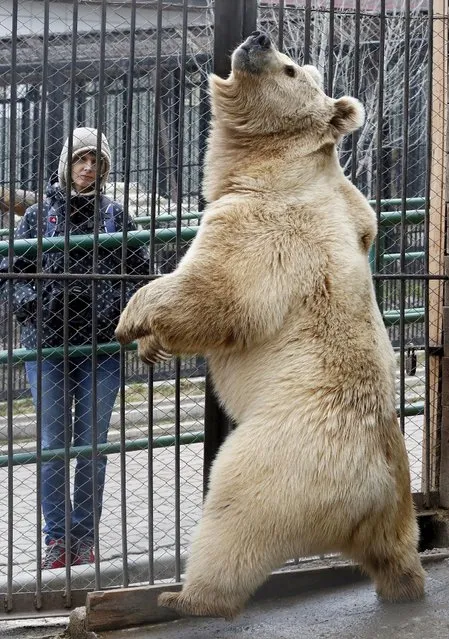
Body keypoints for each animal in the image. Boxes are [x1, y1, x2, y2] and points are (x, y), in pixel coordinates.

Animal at [114, 31, 424, 620]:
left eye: (288, 69)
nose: (257, 38)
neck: (277, 166)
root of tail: (371, 492)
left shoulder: (267, 221)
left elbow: (221, 290)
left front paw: (135, 318)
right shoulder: (357, 210)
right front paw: (151, 349)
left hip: (282, 459)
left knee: (234, 517)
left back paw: (186, 595)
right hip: (396, 504)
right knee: (397, 548)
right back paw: (404, 583)